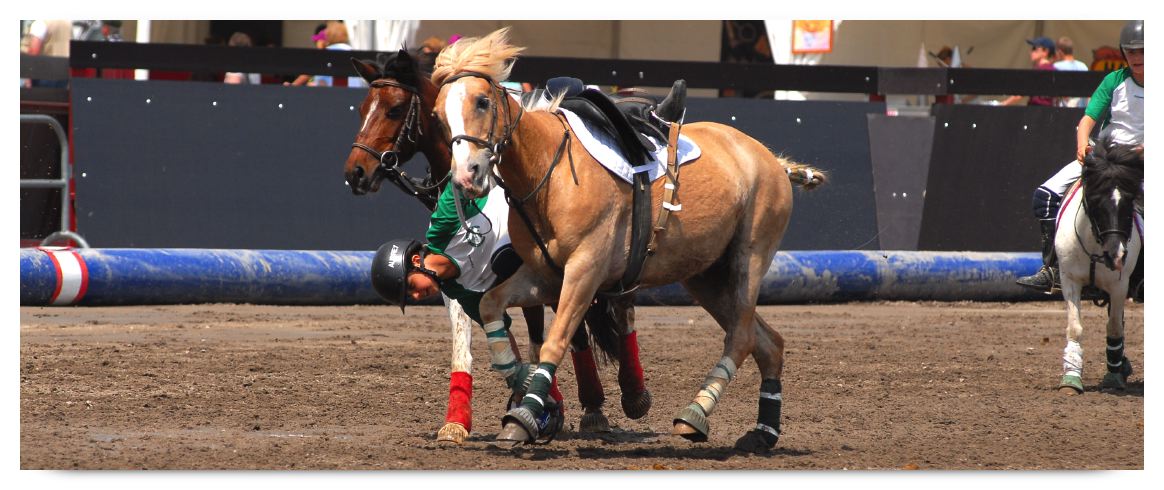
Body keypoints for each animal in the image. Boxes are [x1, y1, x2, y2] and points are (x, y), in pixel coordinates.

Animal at [343, 49, 650, 444]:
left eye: (395, 109)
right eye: (364, 107)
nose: (356, 172)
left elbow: (568, 331)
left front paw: (585, 406)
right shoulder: (464, 280)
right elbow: (473, 341)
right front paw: (459, 421)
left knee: (620, 310)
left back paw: (629, 393)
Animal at [430, 28, 827, 452]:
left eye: (482, 101)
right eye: (438, 116)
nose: (467, 174)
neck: (549, 172)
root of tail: (771, 159)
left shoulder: (584, 272)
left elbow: (555, 341)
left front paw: (524, 416)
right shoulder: (544, 276)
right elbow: (490, 306)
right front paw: (536, 398)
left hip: (747, 260)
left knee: (742, 336)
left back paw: (695, 413)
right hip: (705, 276)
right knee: (768, 343)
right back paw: (763, 431)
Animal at [1054, 134, 1143, 395]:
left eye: (1130, 202)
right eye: (1094, 201)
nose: (1116, 255)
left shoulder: (1119, 286)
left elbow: (1114, 329)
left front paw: (1113, 376)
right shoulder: (1069, 280)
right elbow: (1075, 328)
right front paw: (1071, 378)